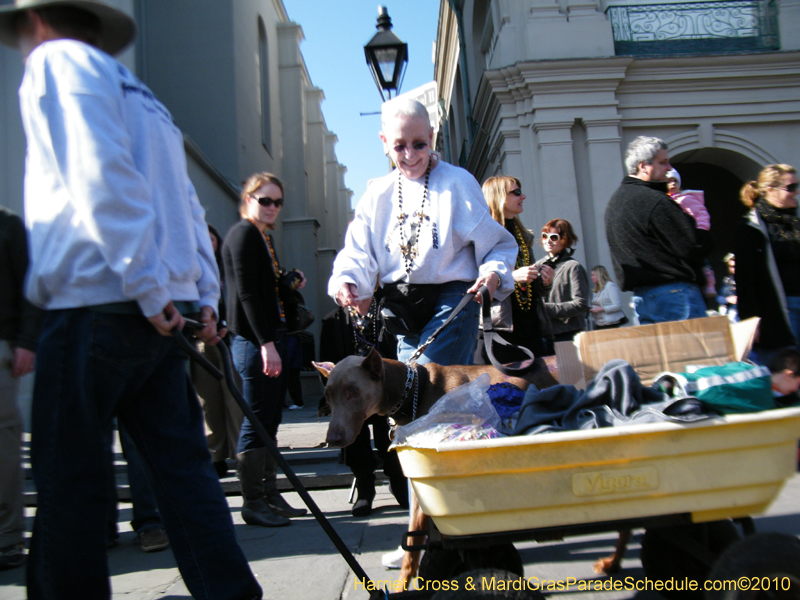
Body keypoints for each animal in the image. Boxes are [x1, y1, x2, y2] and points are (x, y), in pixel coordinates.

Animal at [312, 350, 556, 588]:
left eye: (353, 391)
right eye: (328, 395)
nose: (332, 439)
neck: (413, 390)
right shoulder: (422, 484)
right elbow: (414, 539)